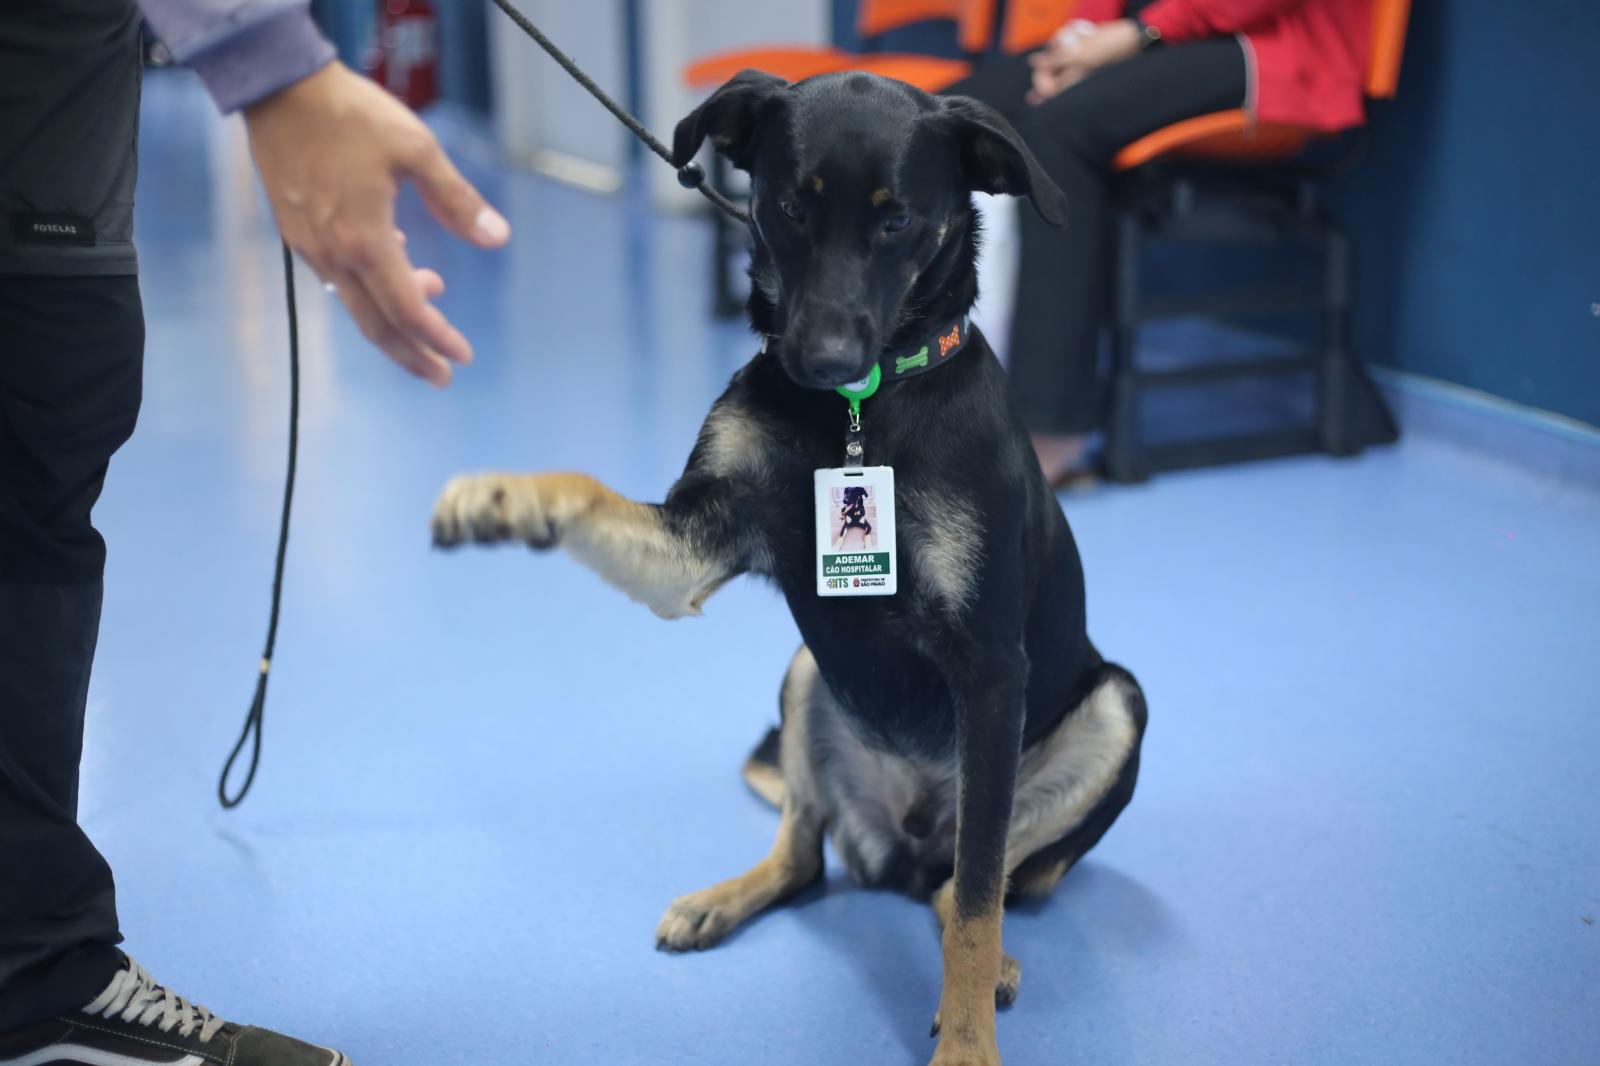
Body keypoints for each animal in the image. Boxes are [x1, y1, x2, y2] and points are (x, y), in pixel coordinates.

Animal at [432, 68, 1145, 1062]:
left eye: (897, 221)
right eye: (788, 209)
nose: (824, 362)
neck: (859, 417)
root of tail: (903, 837)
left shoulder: (992, 671)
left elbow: (975, 904)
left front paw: (966, 1044)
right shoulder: (696, 542)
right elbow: (588, 494)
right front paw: (508, 496)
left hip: (1112, 706)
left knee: (971, 880)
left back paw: (993, 957)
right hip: (807, 674)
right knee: (810, 857)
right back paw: (724, 899)